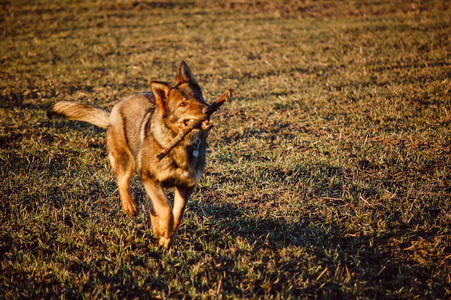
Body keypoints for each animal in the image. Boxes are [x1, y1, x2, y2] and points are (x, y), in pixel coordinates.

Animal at [47, 61, 214, 248]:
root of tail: (115, 109)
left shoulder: (185, 187)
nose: (208, 109)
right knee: (122, 181)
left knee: (152, 208)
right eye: (183, 104)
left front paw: (166, 237)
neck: (180, 143)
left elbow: (176, 215)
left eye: (198, 96)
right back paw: (129, 207)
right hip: (127, 162)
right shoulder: (150, 179)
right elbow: (166, 209)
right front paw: (164, 230)